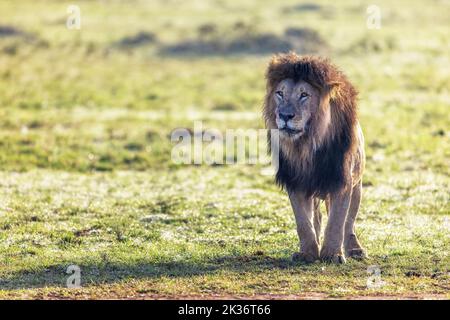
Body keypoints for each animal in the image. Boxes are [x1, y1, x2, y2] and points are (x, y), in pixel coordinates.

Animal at [264, 52, 366, 264]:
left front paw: (333, 254)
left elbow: (337, 221)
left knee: (349, 223)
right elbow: (304, 222)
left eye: (304, 95)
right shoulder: (295, 182)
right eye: (280, 93)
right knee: (317, 218)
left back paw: (354, 249)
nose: (285, 115)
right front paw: (307, 253)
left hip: (357, 186)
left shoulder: (342, 181)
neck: (306, 144)